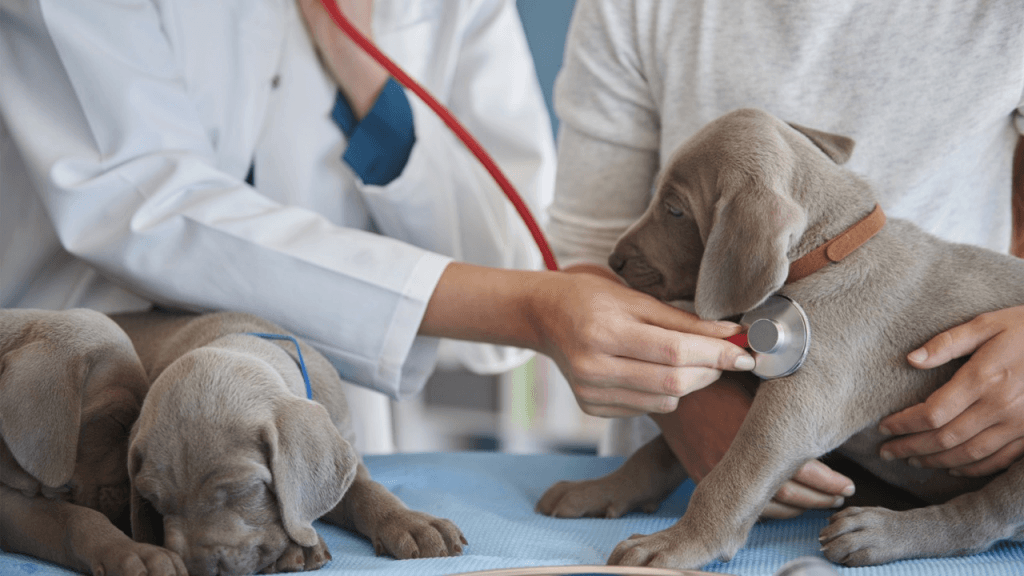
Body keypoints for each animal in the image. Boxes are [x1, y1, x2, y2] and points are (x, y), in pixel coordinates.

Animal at [112, 309, 464, 573]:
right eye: (153, 501)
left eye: (241, 490)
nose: (199, 569)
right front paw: (297, 546)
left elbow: (366, 491)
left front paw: (411, 522)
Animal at [536, 109, 1024, 565]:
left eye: (675, 209)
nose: (613, 260)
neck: (829, 252)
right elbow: (656, 452)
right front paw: (599, 489)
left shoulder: (798, 407)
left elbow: (732, 476)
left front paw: (677, 543)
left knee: (986, 516)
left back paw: (879, 534)